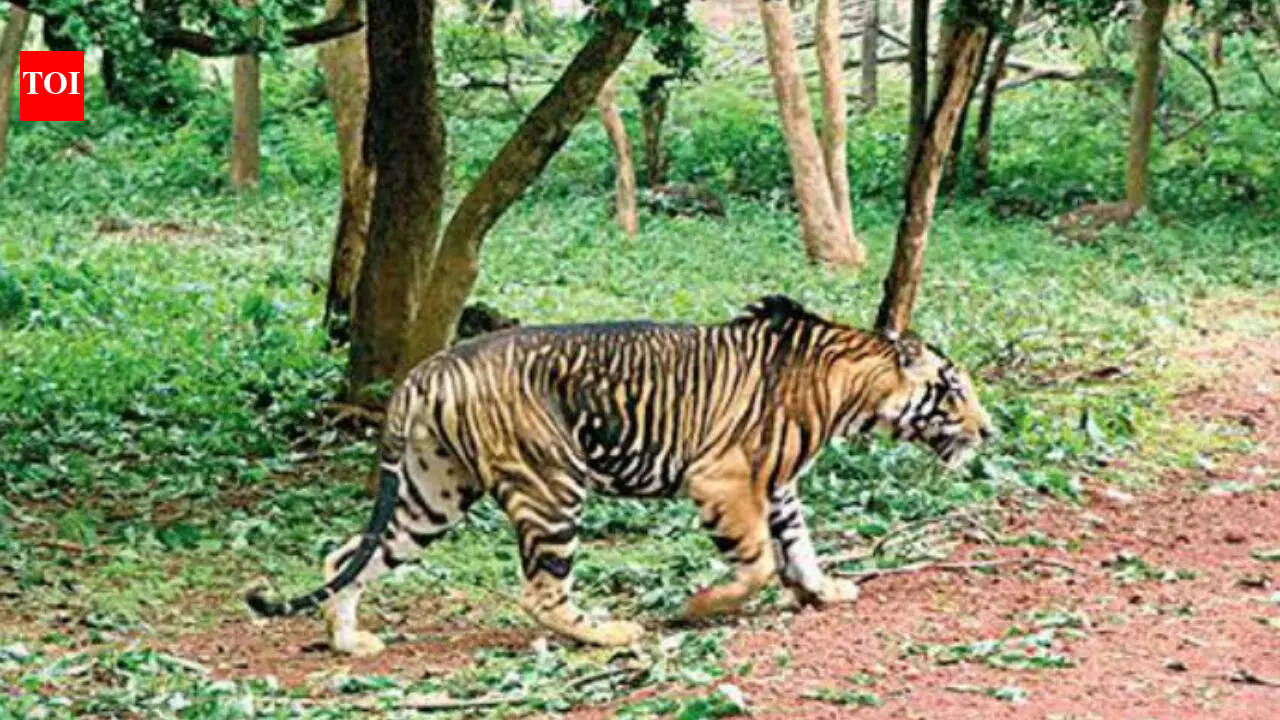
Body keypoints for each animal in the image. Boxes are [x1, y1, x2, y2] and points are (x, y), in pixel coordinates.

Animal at [245, 295, 994, 654]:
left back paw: (349, 642)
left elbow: (799, 545)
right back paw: (611, 632)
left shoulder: (778, 487)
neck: (852, 389)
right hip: (551, 487)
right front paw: (698, 607)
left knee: (345, 554)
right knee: (542, 593)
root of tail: (428, 368)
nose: (990, 431)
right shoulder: (723, 481)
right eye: (954, 390)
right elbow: (756, 563)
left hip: (433, 494)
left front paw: (823, 590)